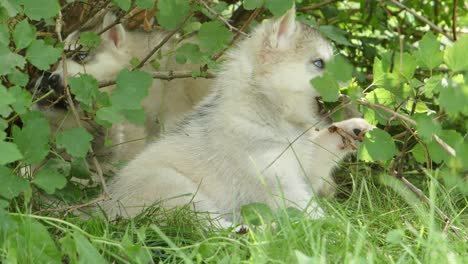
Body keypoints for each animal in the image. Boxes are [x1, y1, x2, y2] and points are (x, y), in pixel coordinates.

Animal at [102, 8, 372, 227]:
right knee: (206, 226)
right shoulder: (280, 184)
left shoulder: (304, 168)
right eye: (318, 63)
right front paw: (342, 230)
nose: (353, 90)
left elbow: (321, 151)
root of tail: (99, 209)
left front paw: (351, 128)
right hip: (174, 189)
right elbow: (312, 214)